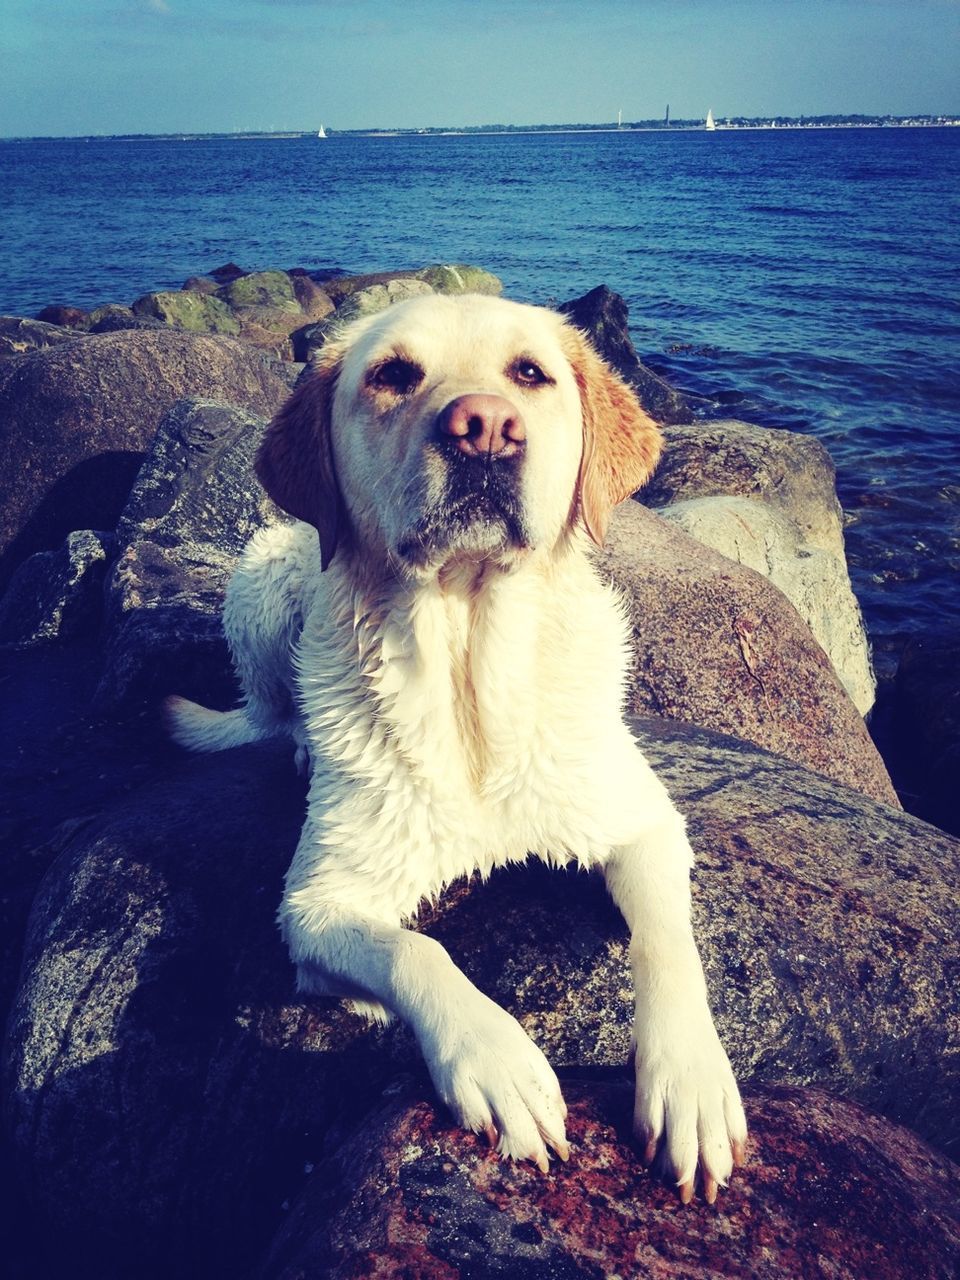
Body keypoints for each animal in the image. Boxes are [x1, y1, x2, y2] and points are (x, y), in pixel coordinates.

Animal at [168, 290, 747, 1198]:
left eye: (530, 374)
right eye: (393, 374)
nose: (484, 427)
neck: (473, 671)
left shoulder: (644, 821)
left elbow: (668, 941)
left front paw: (691, 1083)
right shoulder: (315, 906)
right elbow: (415, 951)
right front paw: (496, 1060)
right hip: (261, 583)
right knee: (269, 710)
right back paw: (297, 743)